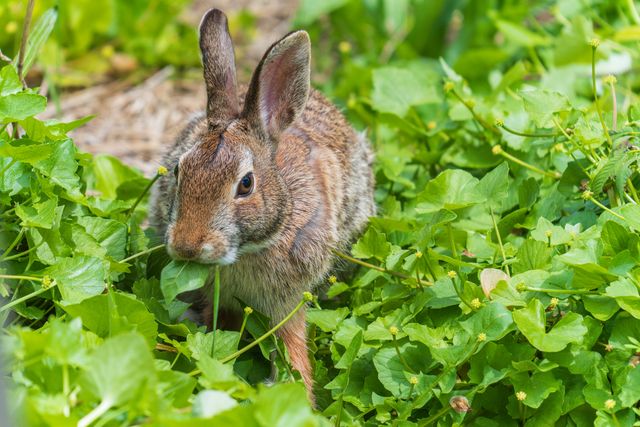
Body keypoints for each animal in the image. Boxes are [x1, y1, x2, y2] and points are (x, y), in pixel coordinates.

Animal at [150, 8, 375, 400]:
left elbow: (292, 346)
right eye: (178, 170)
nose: (187, 247)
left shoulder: (288, 302)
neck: (247, 251)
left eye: (246, 184)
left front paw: (298, 392)